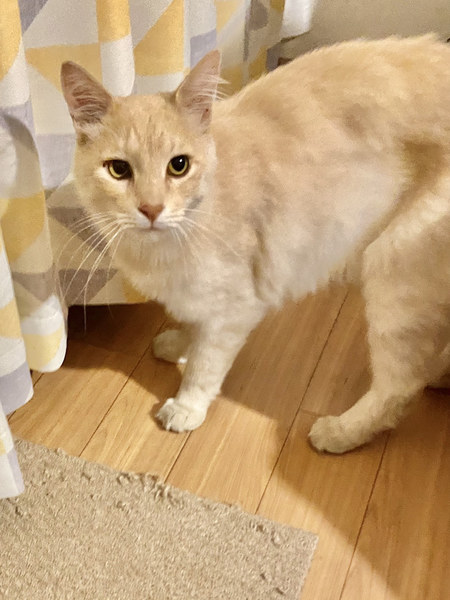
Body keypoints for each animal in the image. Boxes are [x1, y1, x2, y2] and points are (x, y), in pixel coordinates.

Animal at [61, 35, 450, 454]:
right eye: (119, 170)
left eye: (178, 166)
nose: (151, 209)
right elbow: (192, 325)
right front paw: (179, 344)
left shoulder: (236, 308)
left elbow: (204, 366)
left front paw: (186, 406)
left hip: (394, 276)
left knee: (401, 386)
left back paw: (340, 432)